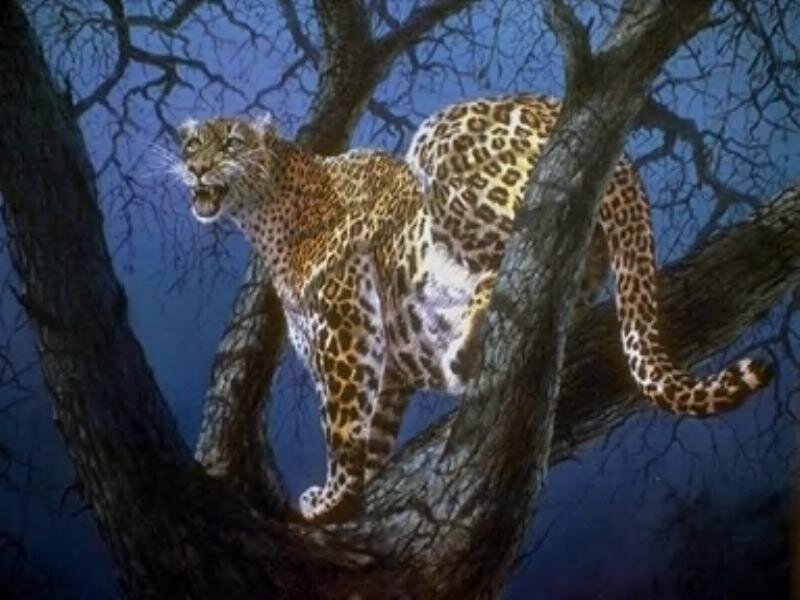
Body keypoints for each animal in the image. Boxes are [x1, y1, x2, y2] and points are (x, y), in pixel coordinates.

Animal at [175, 95, 771, 523]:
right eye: (192, 145)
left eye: (231, 142)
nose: (196, 167)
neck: (268, 219)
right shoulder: (387, 369)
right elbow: (372, 434)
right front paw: (352, 497)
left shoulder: (344, 330)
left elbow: (342, 423)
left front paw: (330, 500)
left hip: (446, 144)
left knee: (522, 246)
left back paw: (465, 349)